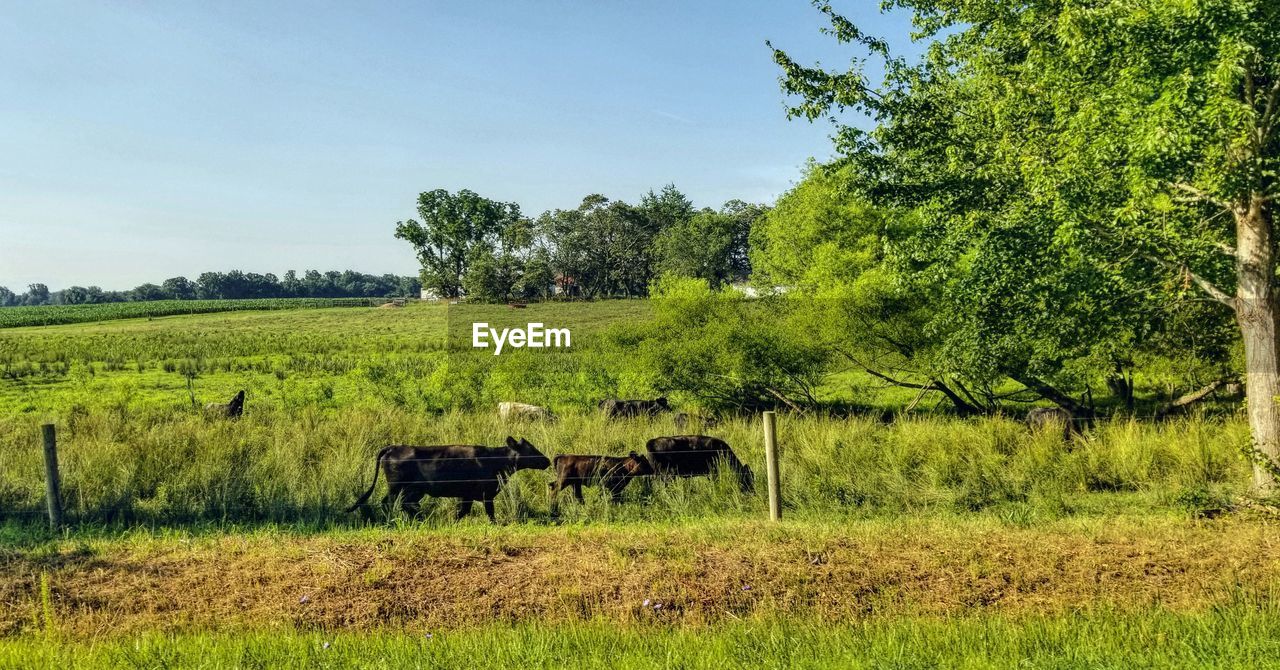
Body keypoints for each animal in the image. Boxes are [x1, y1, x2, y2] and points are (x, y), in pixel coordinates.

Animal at [345, 435, 550, 525]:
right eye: (530, 449)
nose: (547, 460)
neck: (495, 459)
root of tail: (393, 447)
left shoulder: (466, 495)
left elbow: (462, 511)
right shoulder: (486, 493)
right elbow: (489, 512)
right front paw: (496, 524)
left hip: (414, 491)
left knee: (406, 504)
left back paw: (418, 519)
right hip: (397, 487)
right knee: (389, 503)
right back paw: (395, 521)